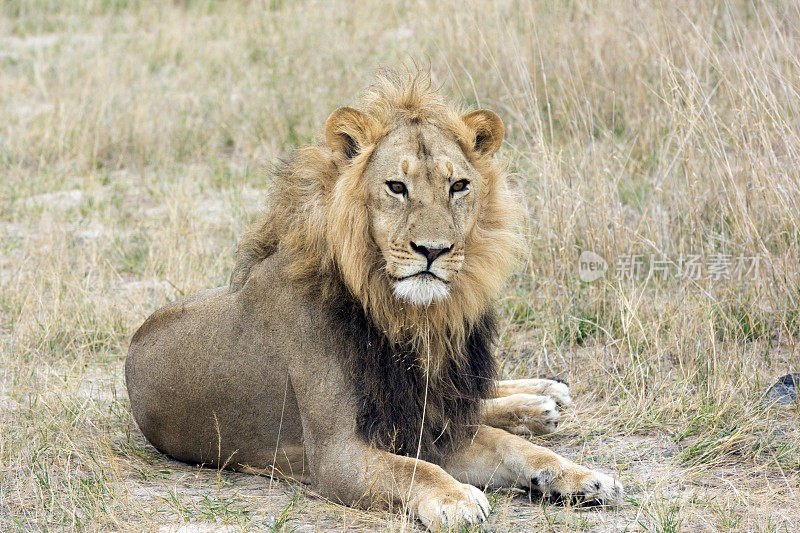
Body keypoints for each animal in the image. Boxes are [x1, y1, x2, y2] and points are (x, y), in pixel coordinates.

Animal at [126, 71, 624, 528]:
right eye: (396, 187)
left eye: (459, 186)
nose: (432, 250)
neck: (406, 316)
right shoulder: (335, 453)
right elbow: (414, 469)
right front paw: (458, 498)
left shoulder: (426, 422)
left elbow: (510, 446)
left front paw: (582, 477)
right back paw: (540, 403)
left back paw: (542, 398)